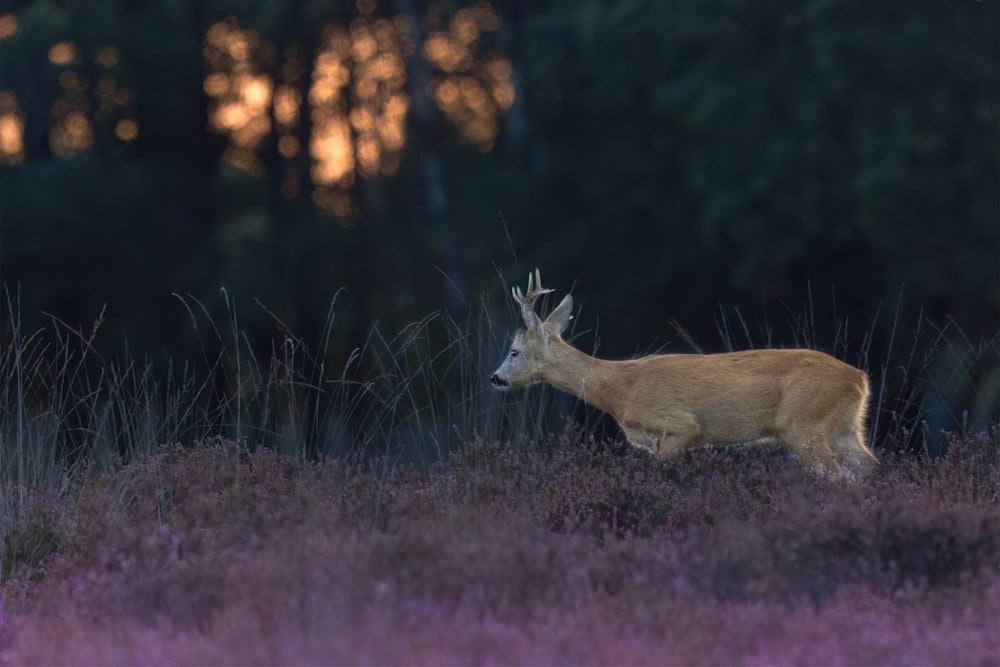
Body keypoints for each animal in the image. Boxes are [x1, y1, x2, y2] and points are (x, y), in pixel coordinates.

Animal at [490, 268, 876, 478]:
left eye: (513, 351)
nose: (495, 378)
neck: (621, 390)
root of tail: (860, 379)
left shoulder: (679, 425)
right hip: (845, 430)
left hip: (804, 427)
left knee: (841, 478)